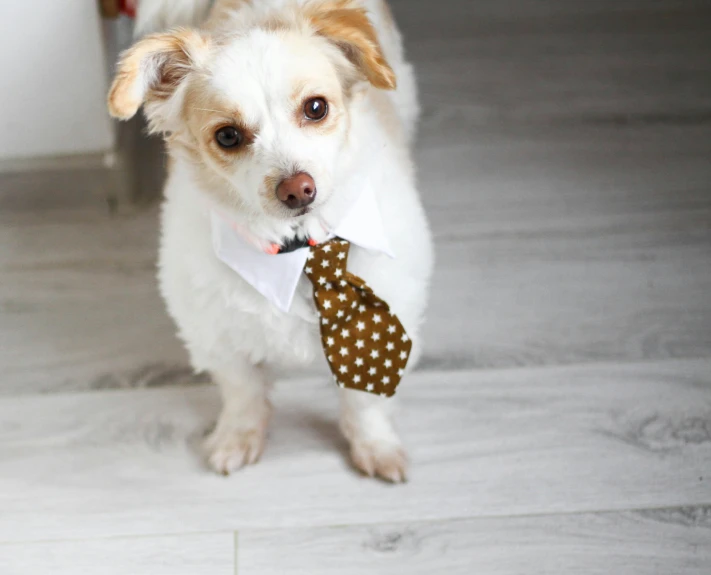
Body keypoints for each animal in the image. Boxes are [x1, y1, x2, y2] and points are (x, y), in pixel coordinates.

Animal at [109, 0, 434, 484]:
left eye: (316, 108)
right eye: (228, 135)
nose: (298, 189)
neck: (299, 250)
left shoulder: (386, 317)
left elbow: (364, 401)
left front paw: (375, 446)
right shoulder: (214, 332)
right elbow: (243, 392)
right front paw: (238, 437)